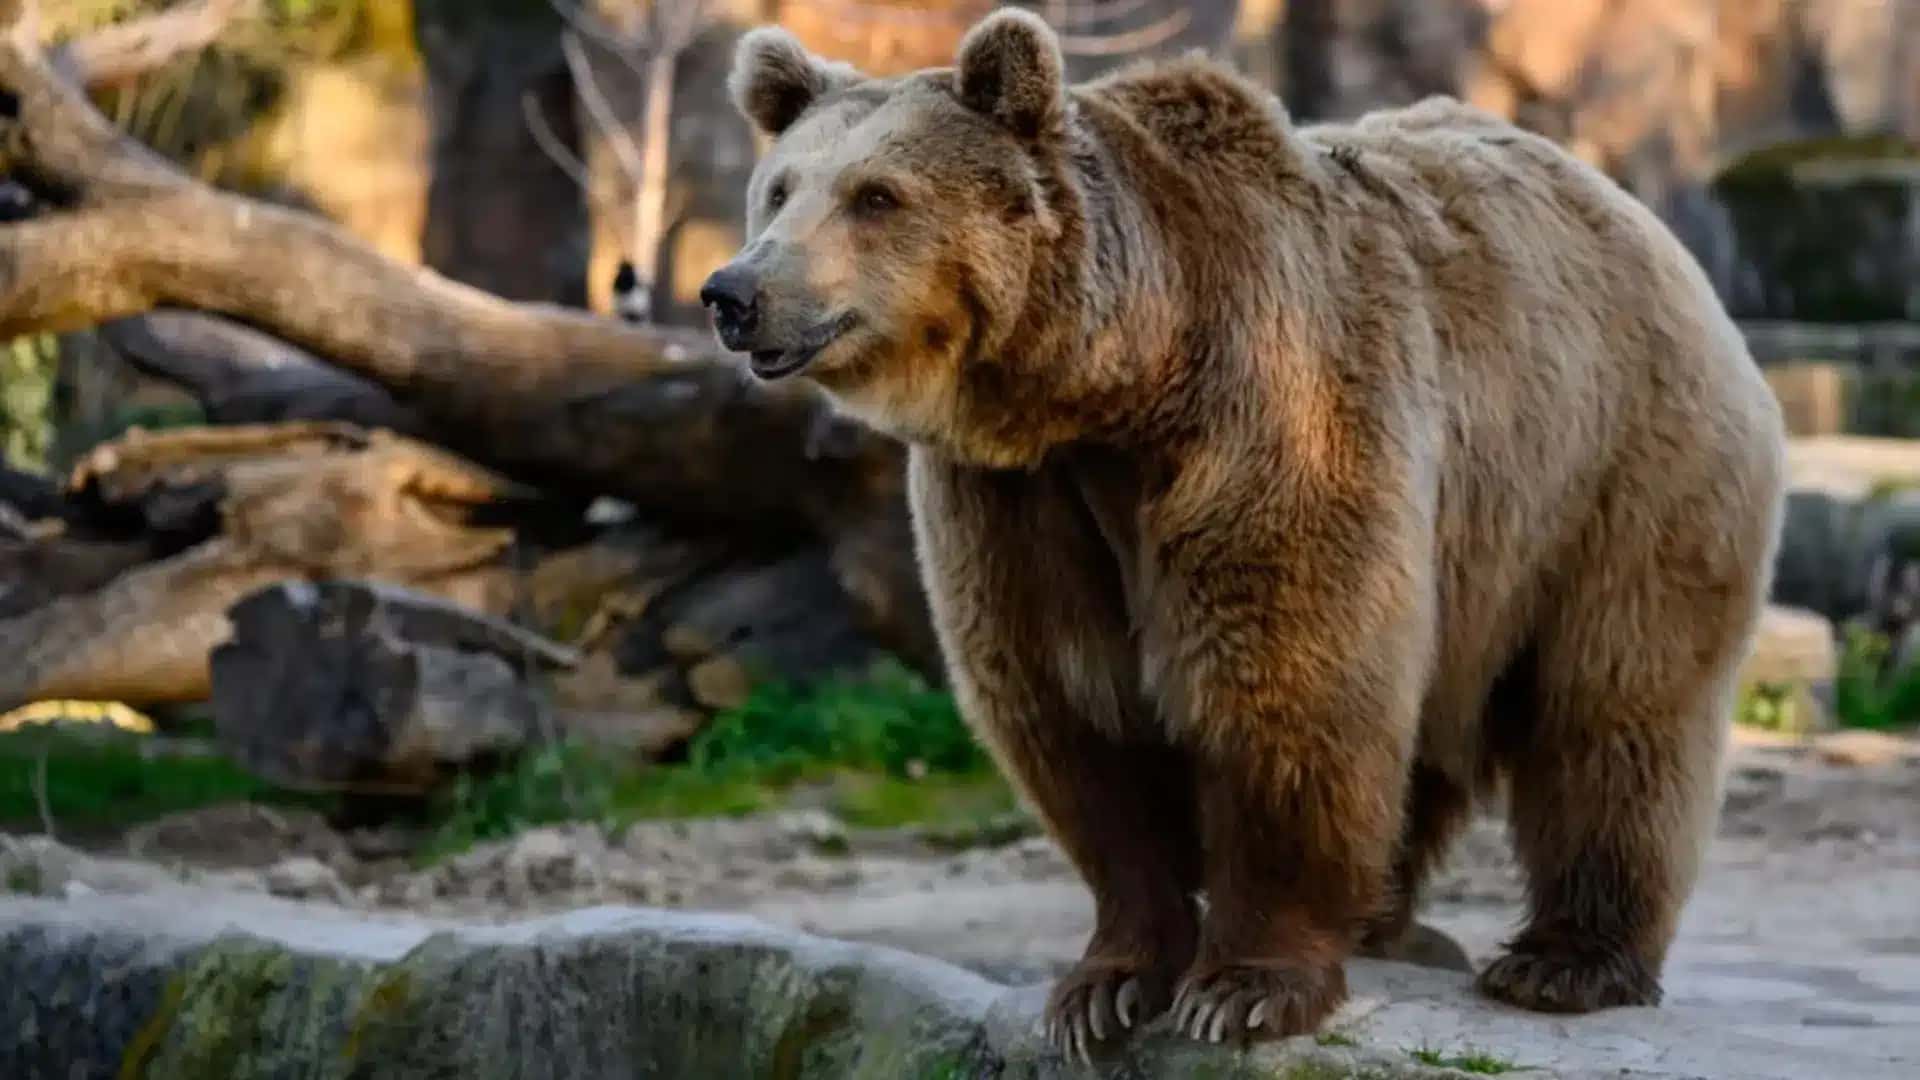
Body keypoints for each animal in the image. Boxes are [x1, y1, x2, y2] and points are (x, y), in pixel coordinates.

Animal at [703, 8, 1787, 1059]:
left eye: (876, 195)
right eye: (780, 189)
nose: (734, 292)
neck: (1119, 382)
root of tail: (1634, 213)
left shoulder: (1272, 414)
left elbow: (1286, 686)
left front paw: (1243, 989)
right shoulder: (1019, 498)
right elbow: (1074, 711)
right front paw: (1103, 988)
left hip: (1613, 470)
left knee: (1614, 708)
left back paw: (1564, 961)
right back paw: (1389, 922)